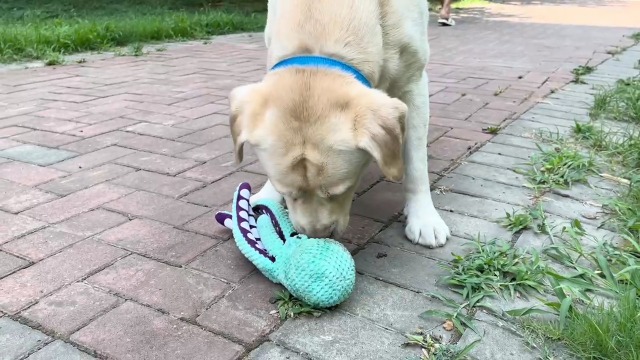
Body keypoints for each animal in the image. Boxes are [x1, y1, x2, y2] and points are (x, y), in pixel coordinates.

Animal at [229, 0, 450, 248]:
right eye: (287, 192)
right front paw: (267, 196)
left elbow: (416, 164)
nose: (316, 236)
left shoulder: (414, 82)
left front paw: (424, 218)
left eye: (340, 191)